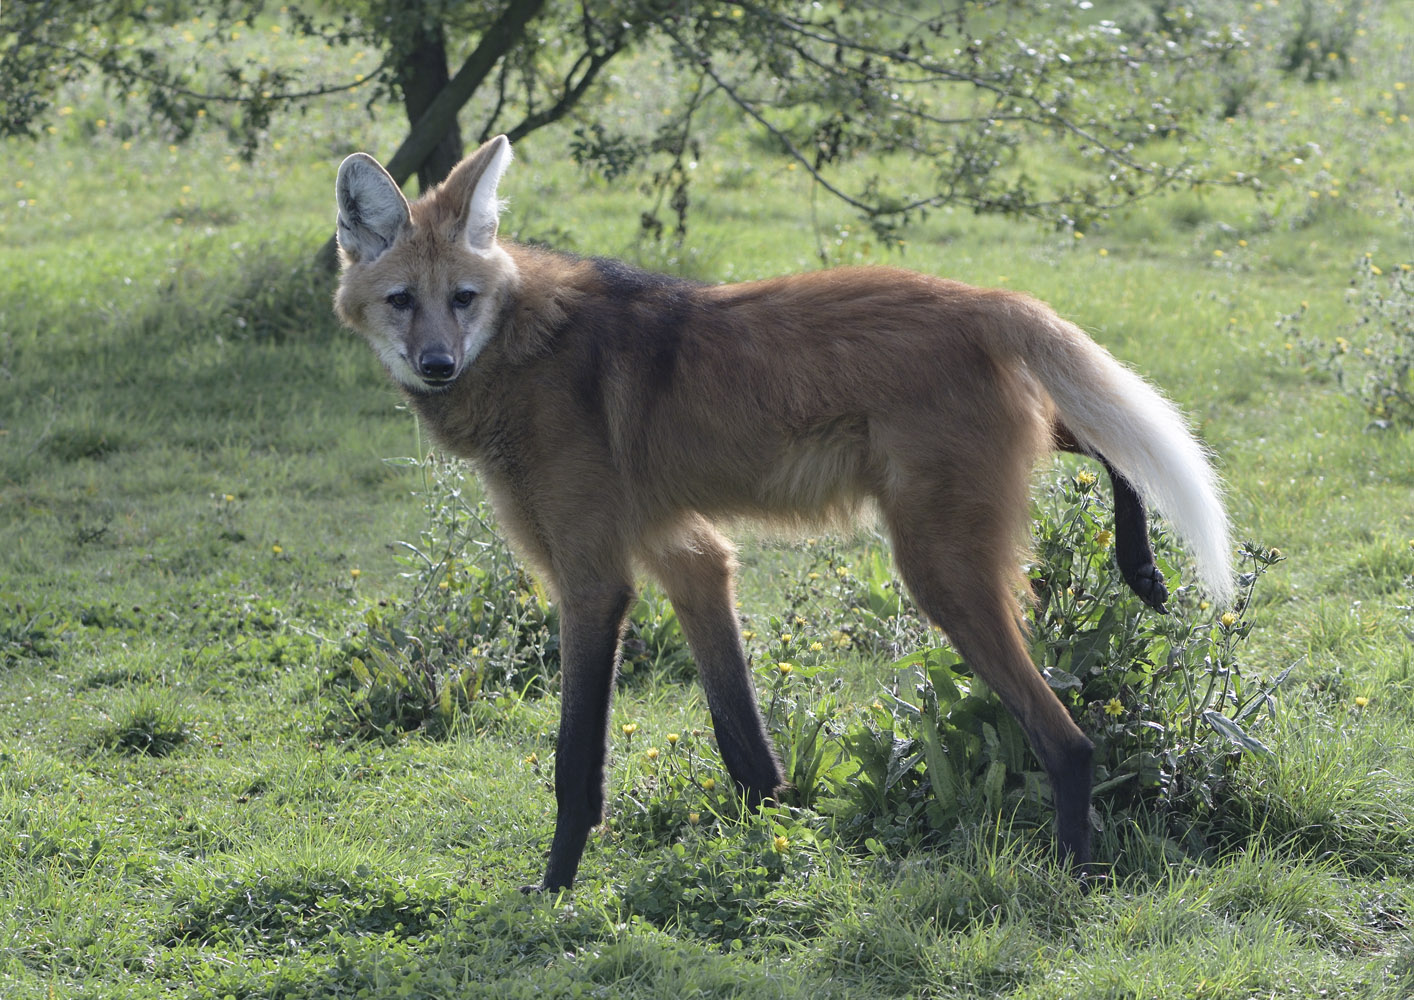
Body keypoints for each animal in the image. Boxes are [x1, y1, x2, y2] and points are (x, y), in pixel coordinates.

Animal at [333, 135, 1232, 891]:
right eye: (402, 300)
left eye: (462, 298)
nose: (438, 364)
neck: (523, 348)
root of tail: (984, 297)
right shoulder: (688, 558)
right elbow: (741, 735)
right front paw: (777, 834)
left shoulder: (591, 581)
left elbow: (574, 757)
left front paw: (553, 888)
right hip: (984, 479)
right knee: (1103, 433)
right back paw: (1141, 568)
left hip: (938, 564)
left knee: (1068, 739)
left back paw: (1074, 873)